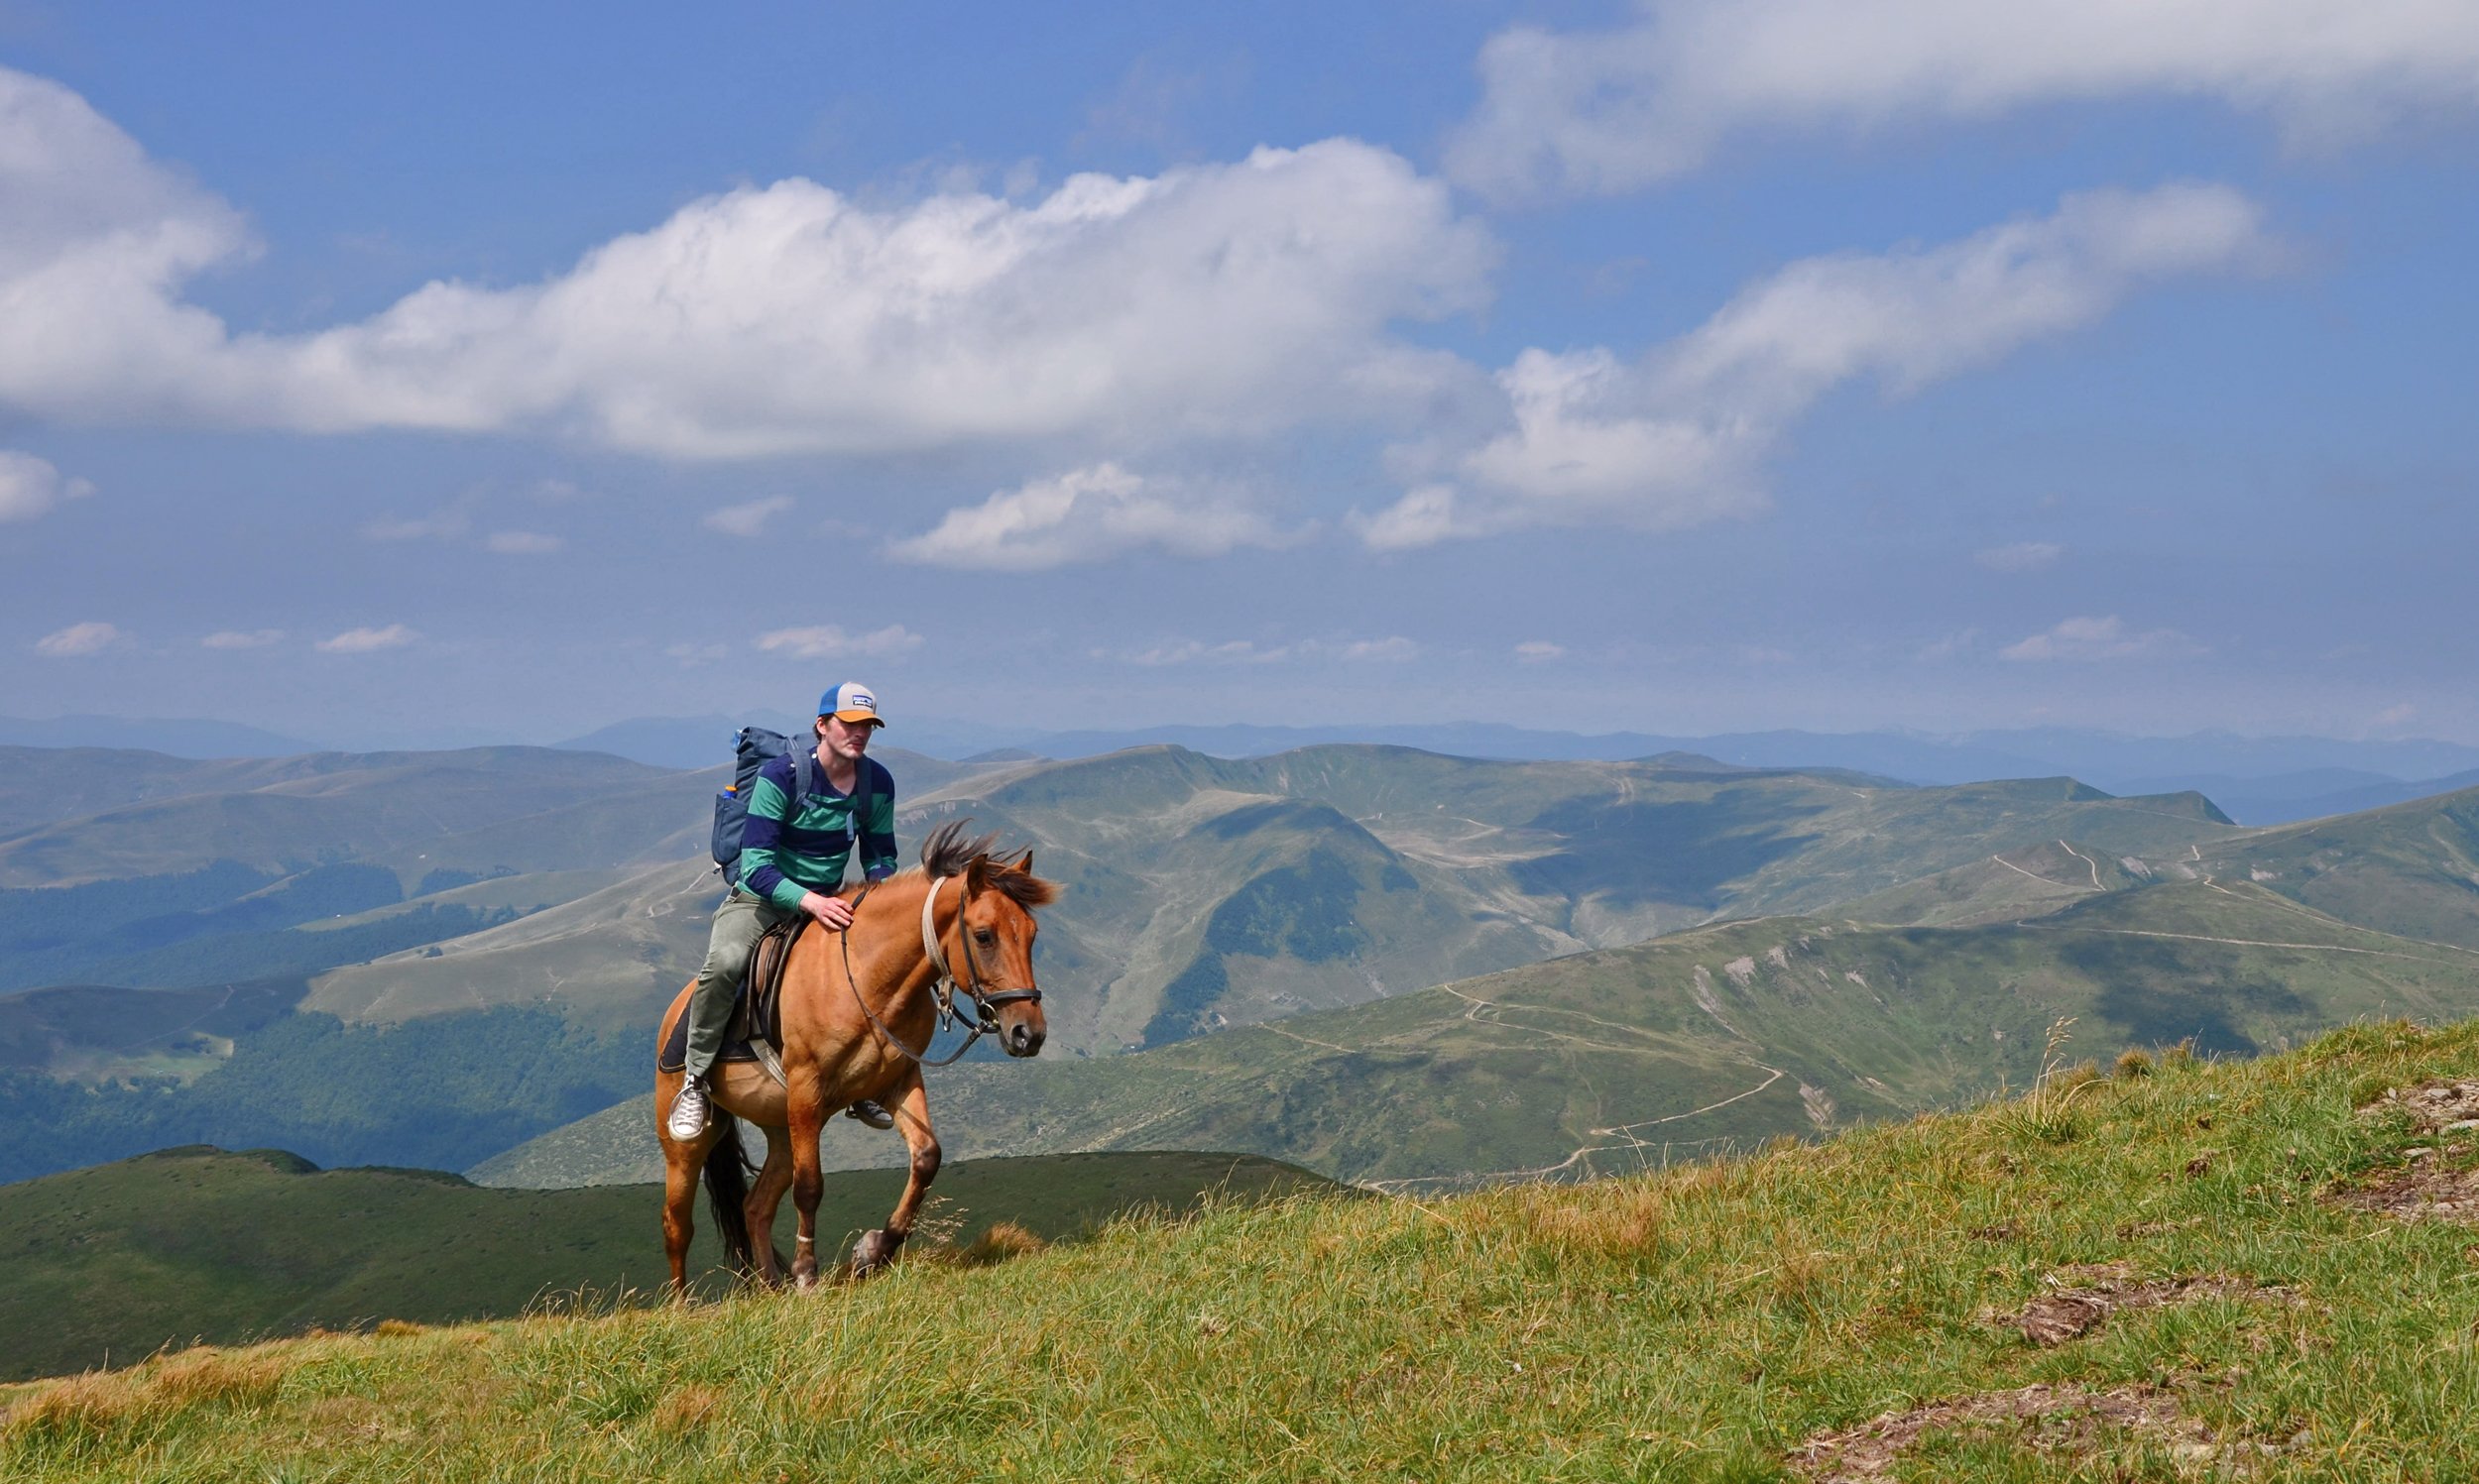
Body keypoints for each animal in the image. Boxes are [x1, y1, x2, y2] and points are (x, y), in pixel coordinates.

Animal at [654, 817, 1051, 1298]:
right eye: (984, 936)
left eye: (1031, 935)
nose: (1029, 1033)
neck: (866, 972)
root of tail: (675, 1011)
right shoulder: (807, 1091)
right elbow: (810, 1187)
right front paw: (808, 1274)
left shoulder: (897, 1080)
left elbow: (927, 1157)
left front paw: (873, 1251)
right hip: (687, 1143)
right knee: (677, 1224)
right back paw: (682, 1304)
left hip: (781, 1127)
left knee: (755, 1206)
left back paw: (771, 1286)